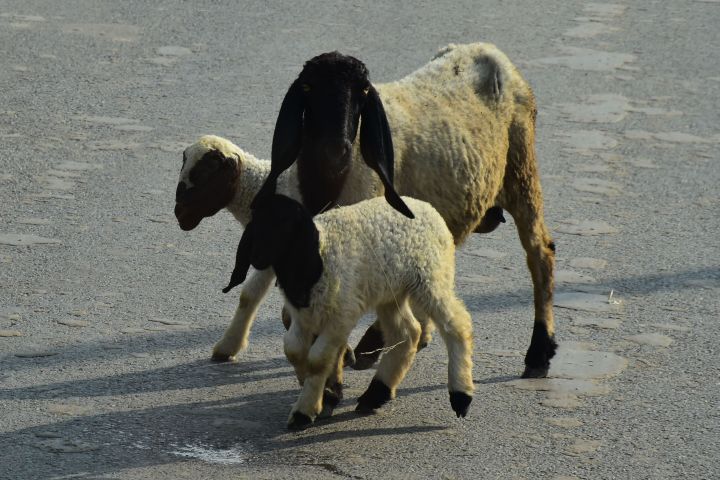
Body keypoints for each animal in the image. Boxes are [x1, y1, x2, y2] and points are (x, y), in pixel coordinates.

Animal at [222, 195, 476, 432]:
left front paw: (305, 410)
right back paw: (376, 395)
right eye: (256, 225)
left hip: (431, 277)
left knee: (456, 325)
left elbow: (317, 359)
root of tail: (424, 206)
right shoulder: (303, 317)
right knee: (407, 333)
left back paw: (461, 395)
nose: (256, 257)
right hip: (389, 292)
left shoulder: (341, 316)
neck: (318, 256)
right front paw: (324, 393)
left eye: (286, 226)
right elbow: (293, 350)